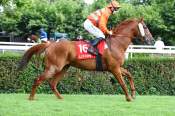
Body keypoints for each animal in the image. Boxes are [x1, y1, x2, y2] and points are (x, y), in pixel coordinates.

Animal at [18, 18, 154, 101]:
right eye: (145, 27)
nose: (152, 41)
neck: (116, 43)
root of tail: (50, 44)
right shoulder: (114, 68)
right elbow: (122, 82)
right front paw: (128, 98)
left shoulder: (116, 67)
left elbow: (130, 75)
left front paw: (133, 93)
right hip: (53, 68)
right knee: (38, 79)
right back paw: (31, 98)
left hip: (63, 68)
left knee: (52, 83)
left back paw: (60, 98)